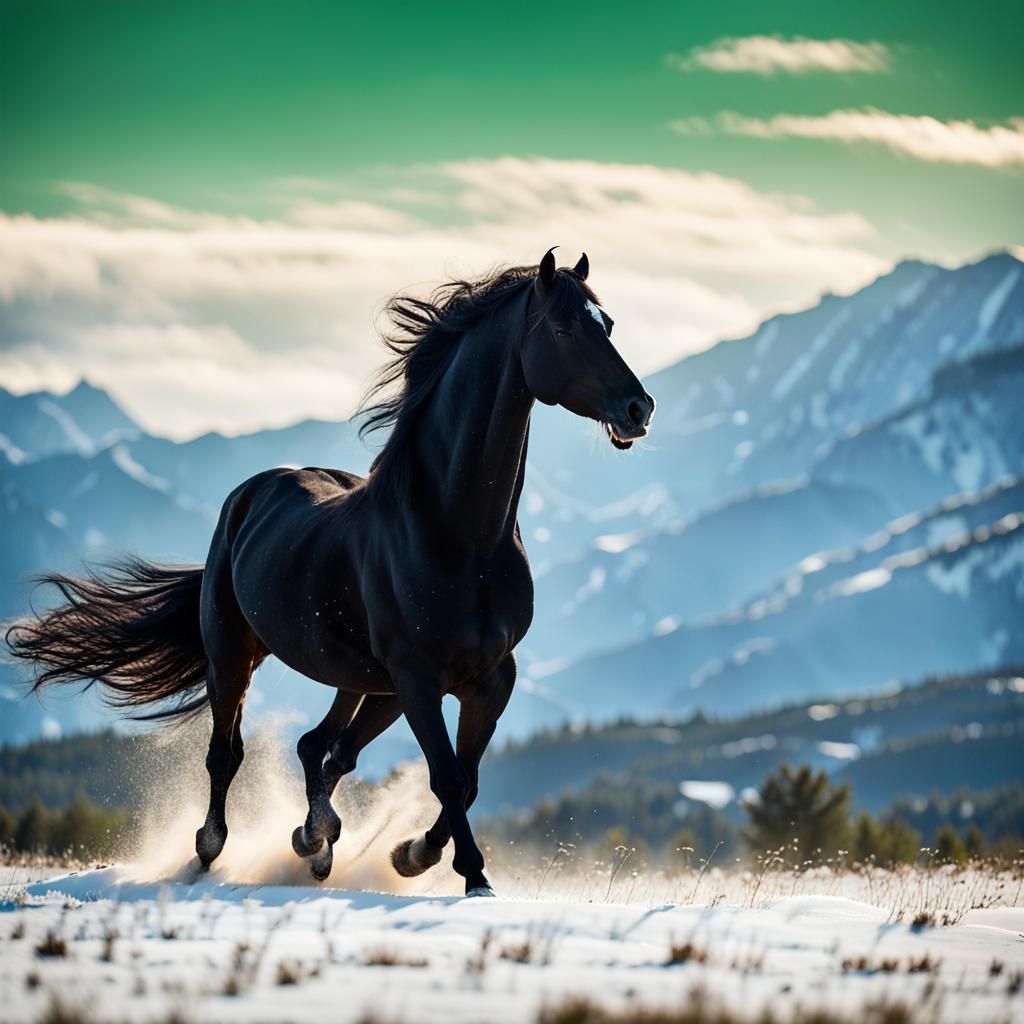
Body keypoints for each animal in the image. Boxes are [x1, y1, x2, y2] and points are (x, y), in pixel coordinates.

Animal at [6, 248, 655, 897]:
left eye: (608, 324)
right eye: (565, 329)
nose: (638, 409)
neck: (458, 538)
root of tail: (251, 493)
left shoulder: (492, 678)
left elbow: (465, 779)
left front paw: (410, 855)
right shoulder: (417, 678)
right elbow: (446, 776)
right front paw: (472, 876)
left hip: (364, 680)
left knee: (322, 745)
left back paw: (313, 843)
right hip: (235, 653)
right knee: (229, 753)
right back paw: (213, 851)